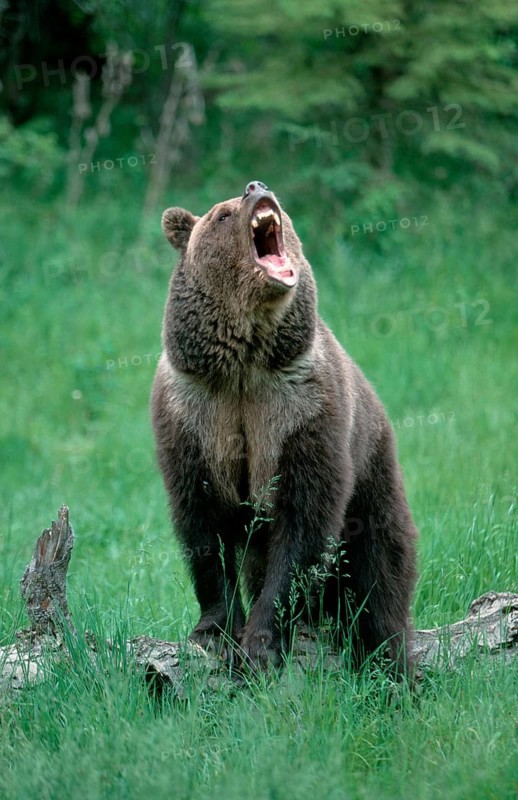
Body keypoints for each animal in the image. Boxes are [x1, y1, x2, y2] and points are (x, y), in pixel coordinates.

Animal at [151, 180, 418, 674]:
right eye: (221, 214)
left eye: (283, 209)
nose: (255, 186)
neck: (243, 363)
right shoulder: (193, 414)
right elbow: (200, 525)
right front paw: (215, 631)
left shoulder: (302, 408)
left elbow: (304, 519)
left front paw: (262, 639)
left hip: (373, 472)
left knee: (380, 567)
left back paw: (390, 657)